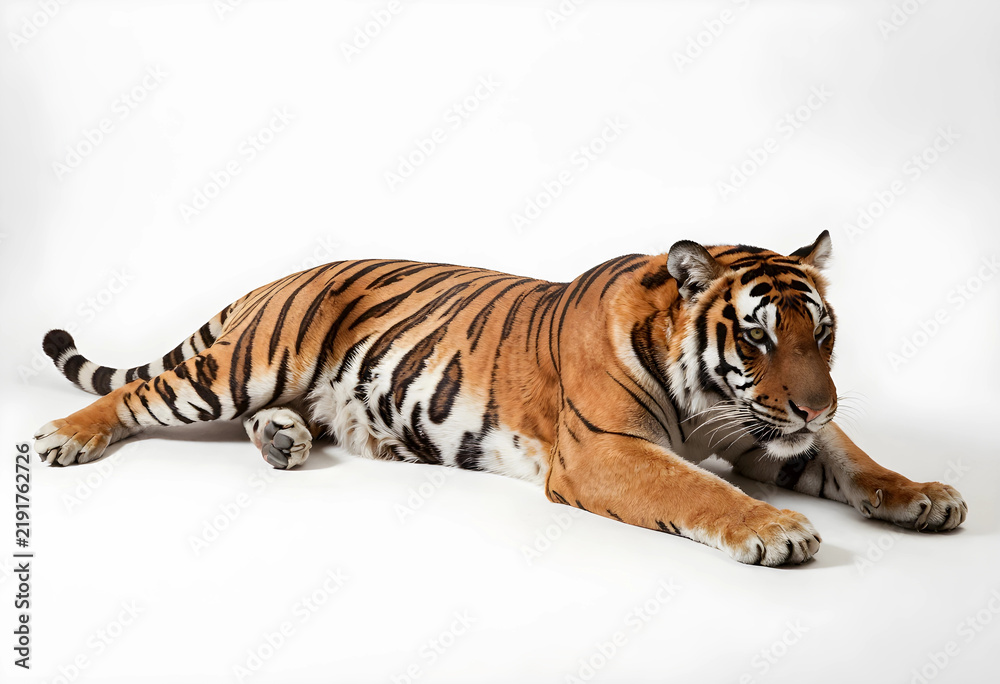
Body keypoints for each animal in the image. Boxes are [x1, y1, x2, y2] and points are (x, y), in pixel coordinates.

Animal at [33, 230, 967, 566]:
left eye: (823, 334)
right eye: (757, 338)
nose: (816, 406)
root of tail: (279, 278)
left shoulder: (766, 430)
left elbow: (859, 461)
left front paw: (925, 496)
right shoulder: (606, 453)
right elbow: (699, 488)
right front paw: (776, 528)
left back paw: (285, 442)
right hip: (242, 365)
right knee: (139, 392)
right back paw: (62, 437)